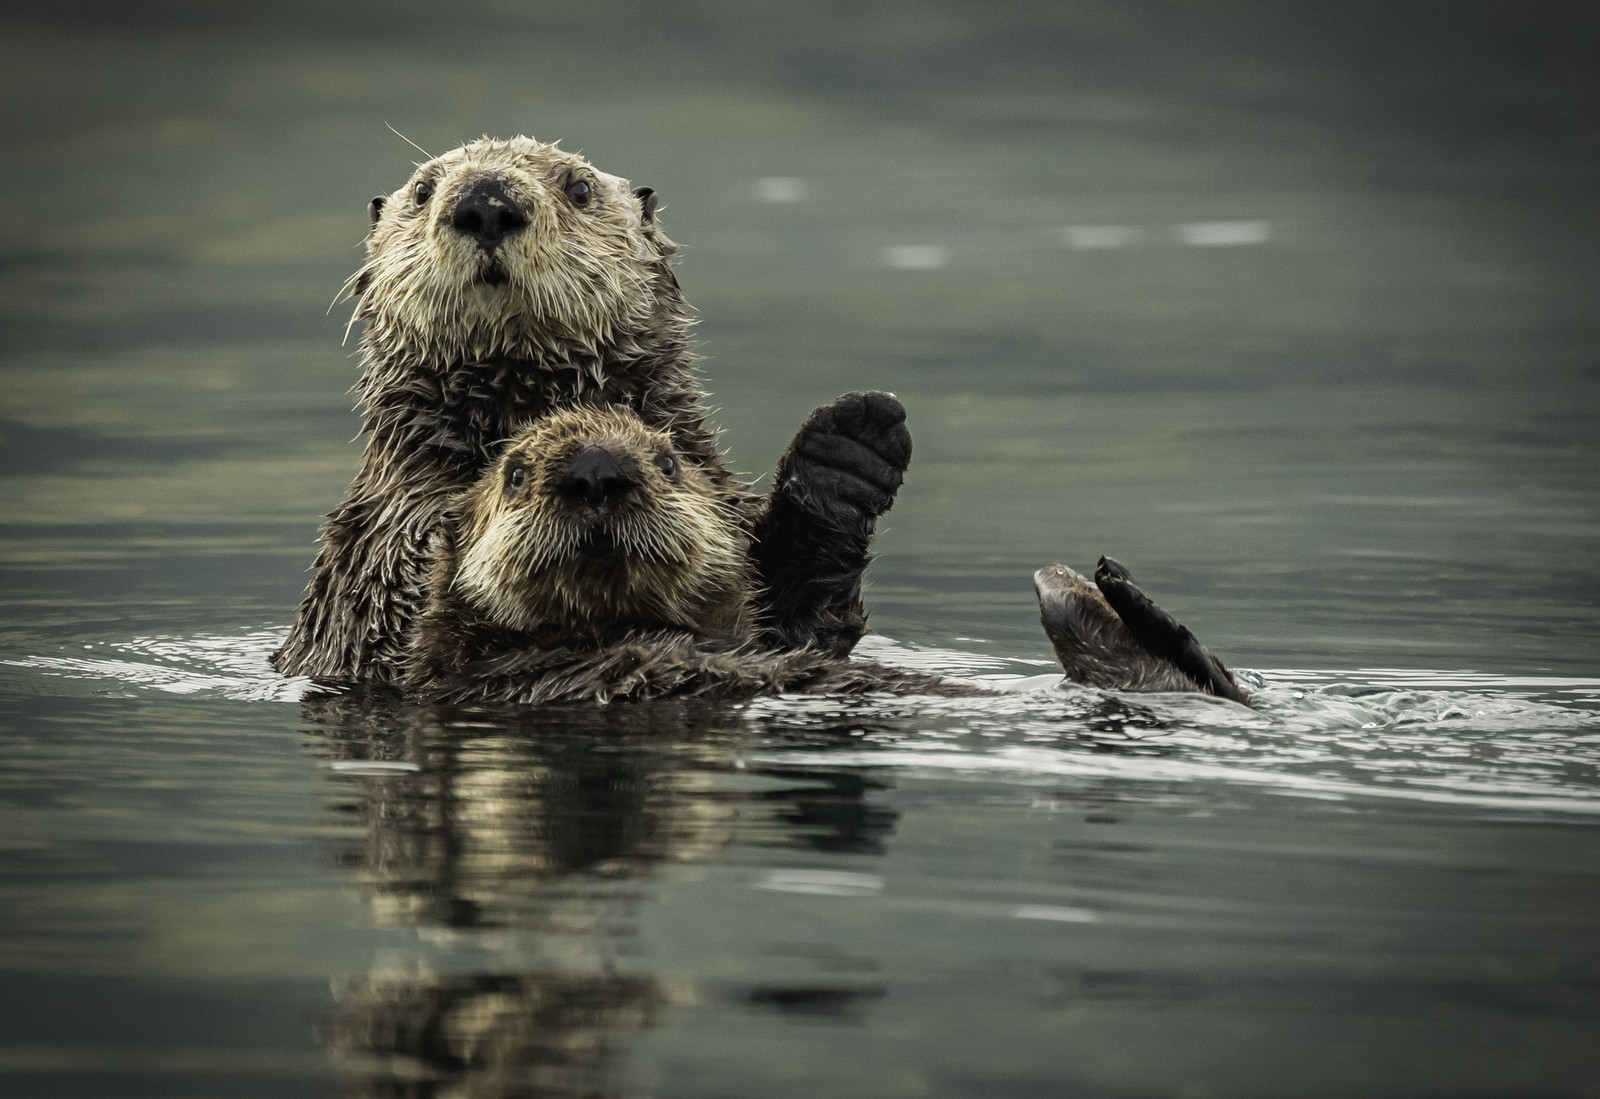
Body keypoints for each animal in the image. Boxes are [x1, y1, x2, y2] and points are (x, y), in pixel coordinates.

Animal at [274, 135, 908, 684]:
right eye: (424, 189)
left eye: (579, 188)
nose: (486, 203)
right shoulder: (378, 543)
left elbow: (798, 621)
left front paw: (848, 447)